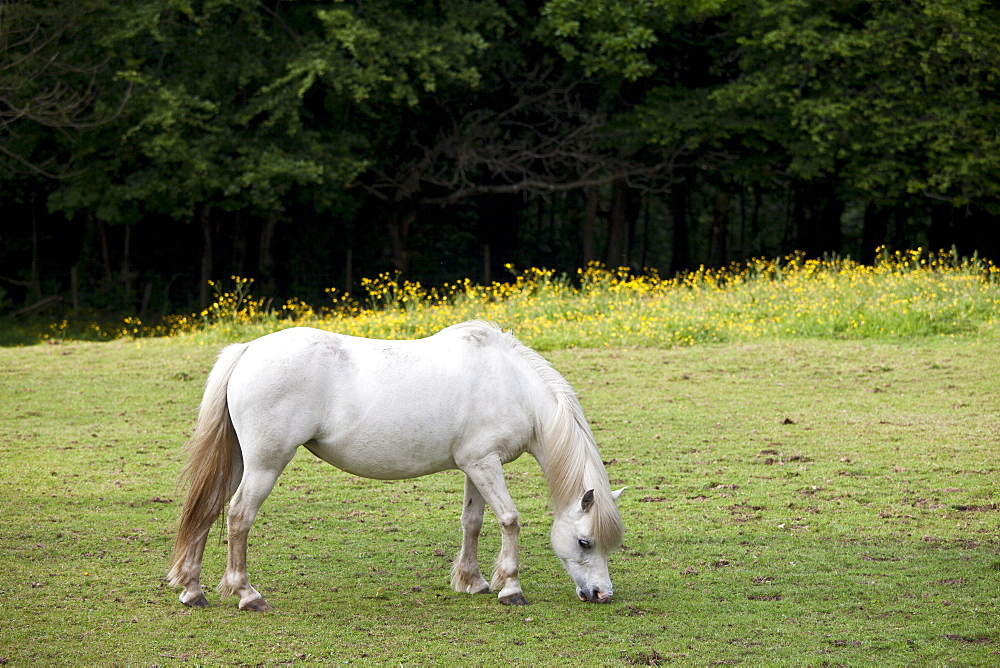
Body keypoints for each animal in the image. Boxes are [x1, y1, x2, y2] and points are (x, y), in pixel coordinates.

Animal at [171, 322, 624, 612]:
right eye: (585, 542)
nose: (603, 594)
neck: (513, 384)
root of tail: (247, 350)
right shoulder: (484, 464)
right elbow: (510, 520)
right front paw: (509, 587)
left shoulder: (474, 466)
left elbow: (473, 522)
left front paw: (473, 582)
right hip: (265, 464)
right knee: (238, 516)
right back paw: (248, 595)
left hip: (237, 461)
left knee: (207, 511)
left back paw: (193, 591)